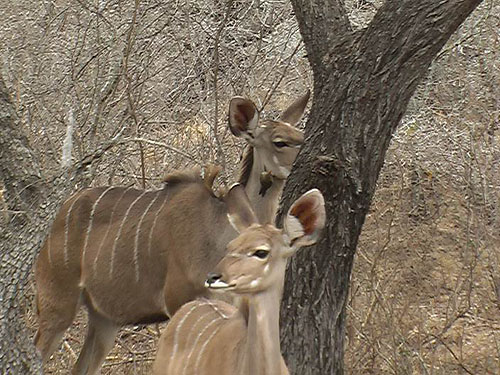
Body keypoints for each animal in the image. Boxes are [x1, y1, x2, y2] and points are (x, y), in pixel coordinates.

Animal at [33, 92, 308, 375]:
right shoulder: (178, 299)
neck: (220, 225)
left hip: (104, 319)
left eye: (299, 132)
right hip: (58, 303)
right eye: (280, 141)